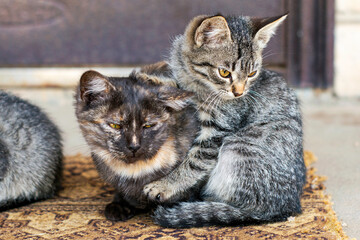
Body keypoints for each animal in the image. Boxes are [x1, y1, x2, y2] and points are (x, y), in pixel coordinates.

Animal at [144, 14, 306, 228]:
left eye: (252, 74)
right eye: (224, 73)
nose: (239, 92)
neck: (199, 83)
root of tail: (287, 206)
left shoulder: (218, 130)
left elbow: (194, 162)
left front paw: (166, 184)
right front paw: (157, 82)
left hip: (238, 145)